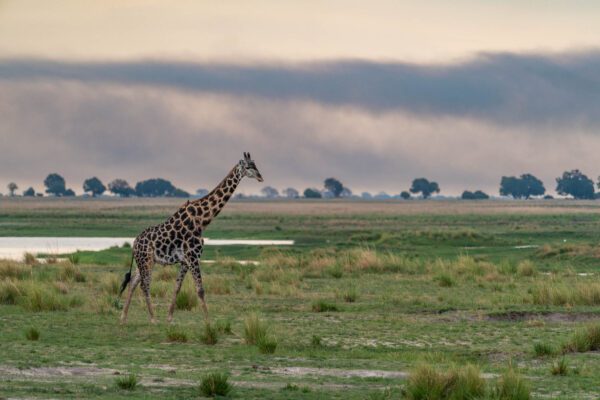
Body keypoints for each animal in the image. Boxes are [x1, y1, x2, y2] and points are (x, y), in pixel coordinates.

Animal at [119, 152, 262, 324]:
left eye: (255, 164)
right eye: (248, 167)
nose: (260, 177)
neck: (202, 220)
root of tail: (134, 243)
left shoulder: (185, 260)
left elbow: (177, 287)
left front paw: (169, 317)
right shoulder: (193, 256)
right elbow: (200, 289)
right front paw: (208, 321)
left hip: (145, 261)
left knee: (133, 282)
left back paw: (123, 317)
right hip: (145, 260)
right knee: (144, 285)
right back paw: (152, 319)